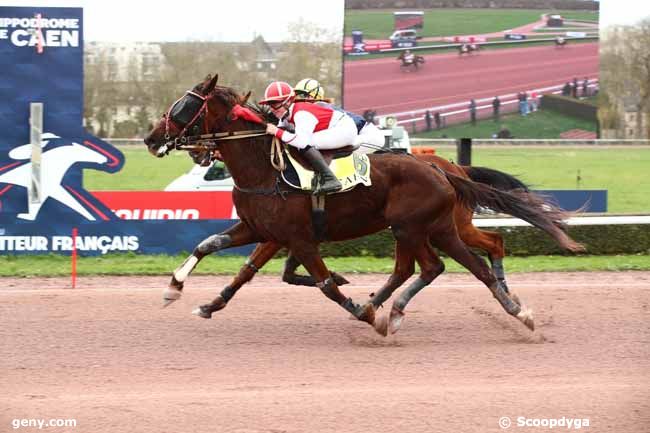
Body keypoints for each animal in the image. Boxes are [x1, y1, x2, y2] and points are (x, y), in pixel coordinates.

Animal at [143, 74, 584, 334]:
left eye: (184, 105)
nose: (150, 138)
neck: (264, 170)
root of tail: (443, 170)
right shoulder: (260, 229)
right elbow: (216, 251)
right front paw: (183, 292)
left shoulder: (297, 238)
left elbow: (322, 283)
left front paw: (360, 310)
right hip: (423, 229)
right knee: (443, 263)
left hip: (424, 227)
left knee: (454, 266)